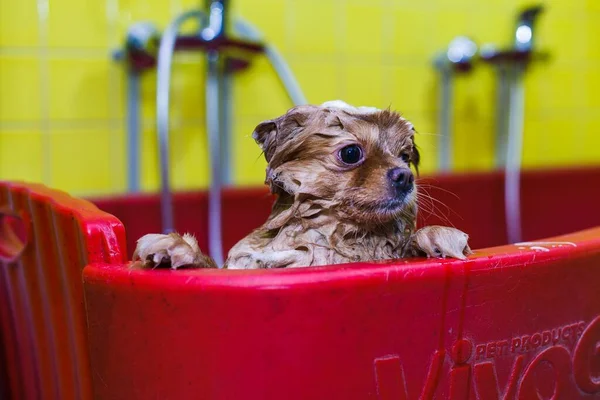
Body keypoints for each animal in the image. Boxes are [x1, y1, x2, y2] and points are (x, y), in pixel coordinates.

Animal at [134, 100, 472, 270]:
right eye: (351, 153)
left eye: (405, 156)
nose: (404, 176)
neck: (337, 239)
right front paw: (175, 248)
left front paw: (436, 238)